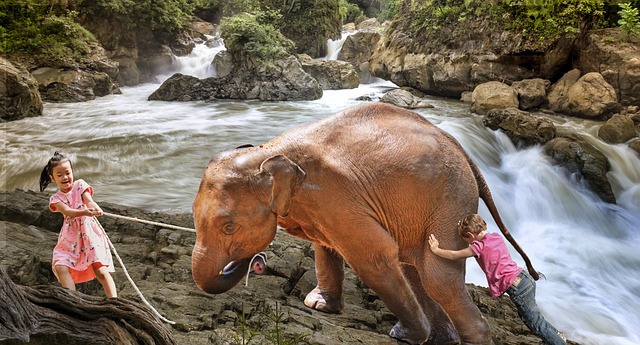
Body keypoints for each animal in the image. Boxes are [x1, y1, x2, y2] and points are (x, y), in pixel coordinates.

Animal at [192, 102, 536, 344]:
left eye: (229, 227)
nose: (255, 259)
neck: (269, 150)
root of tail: (464, 150)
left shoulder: (335, 197)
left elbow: (373, 256)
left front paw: (405, 335)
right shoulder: (322, 207)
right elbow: (325, 247)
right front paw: (319, 306)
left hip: (452, 200)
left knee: (437, 277)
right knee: (415, 270)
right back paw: (442, 339)